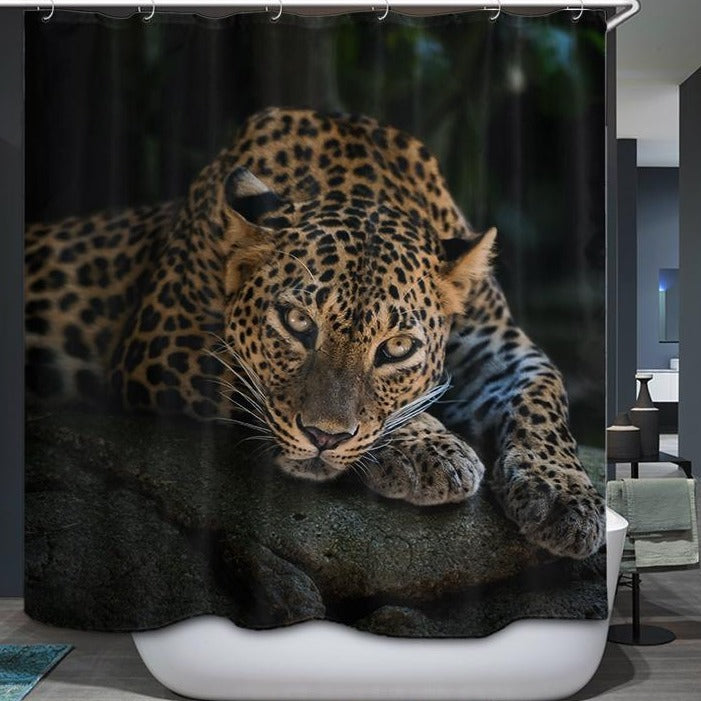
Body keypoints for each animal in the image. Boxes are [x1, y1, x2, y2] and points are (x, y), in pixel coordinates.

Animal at [25, 107, 606, 560]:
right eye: (298, 323)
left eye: (397, 348)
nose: (325, 438)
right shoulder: (162, 338)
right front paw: (430, 449)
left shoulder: (497, 342)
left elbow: (543, 391)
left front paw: (566, 497)